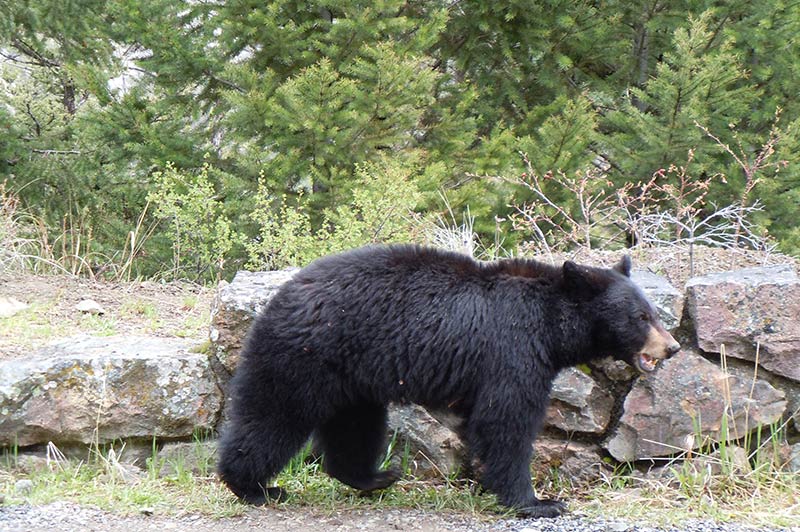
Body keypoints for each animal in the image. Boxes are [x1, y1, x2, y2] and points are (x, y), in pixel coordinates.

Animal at [216, 244, 680, 516]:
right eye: (641, 317)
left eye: (652, 312)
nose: (672, 347)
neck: (551, 326)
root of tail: (278, 297)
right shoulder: (513, 351)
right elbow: (507, 421)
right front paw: (539, 502)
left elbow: (482, 422)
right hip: (308, 357)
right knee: (275, 414)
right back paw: (253, 487)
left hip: (352, 375)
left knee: (355, 423)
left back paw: (375, 477)